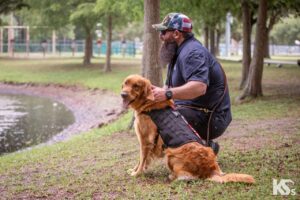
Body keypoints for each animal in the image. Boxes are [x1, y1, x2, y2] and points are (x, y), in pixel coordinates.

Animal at [120, 74, 254, 184]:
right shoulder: (146, 143)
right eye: (125, 84)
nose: (123, 94)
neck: (148, 102)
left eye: (136, 86)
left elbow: (142, 159)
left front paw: (137, 173)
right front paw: (134, 170)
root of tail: (211, 169)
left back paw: (173, 176)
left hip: (171, 153)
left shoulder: (145, 141)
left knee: (188, 177)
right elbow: (141, 160)